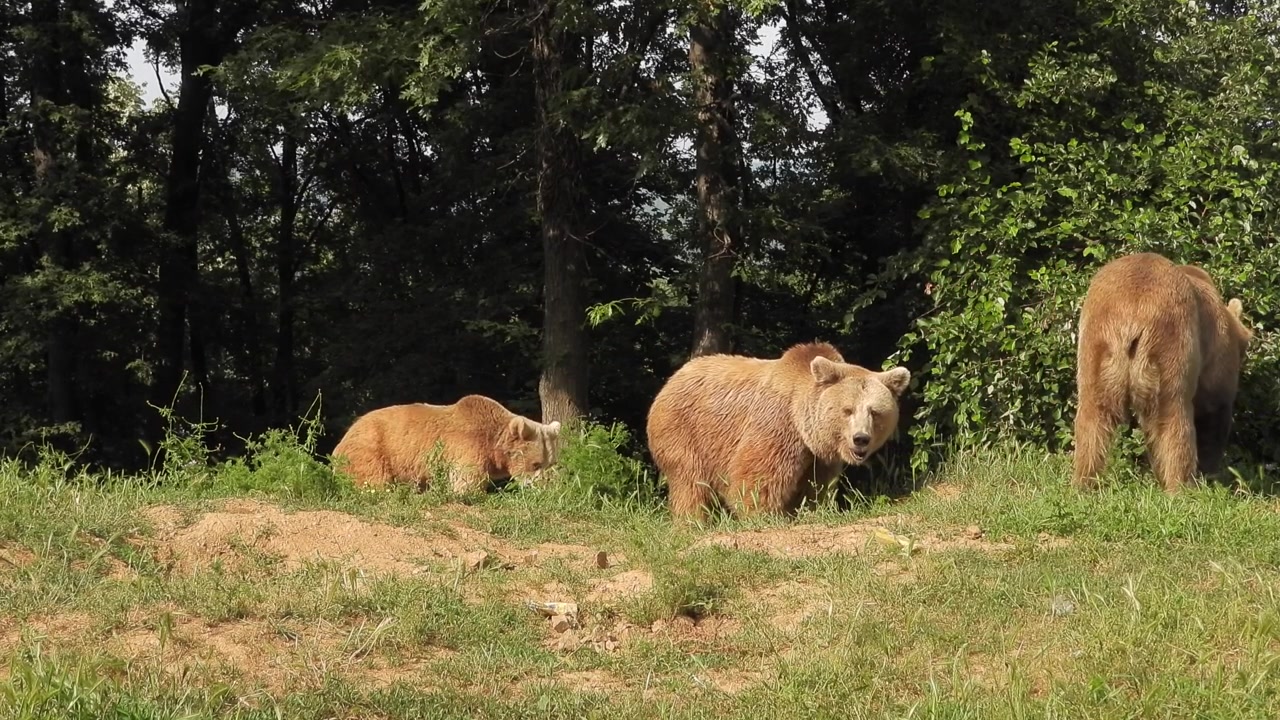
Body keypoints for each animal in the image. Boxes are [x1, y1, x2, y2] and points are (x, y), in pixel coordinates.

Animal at [331, 394, 563, 493]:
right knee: (373, 479)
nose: (545, 487)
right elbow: (466, 484)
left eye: (550, 463)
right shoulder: (465, 446)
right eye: (535, 463)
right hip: (371, 448)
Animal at [645, 342, 911, 522]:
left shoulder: (817, 458)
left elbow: (813, 487)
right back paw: (693, 522)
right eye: (847, 410)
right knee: (690, 484)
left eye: (875, 412)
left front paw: (808, 510)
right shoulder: (777, 426)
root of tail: (672, 379)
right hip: (683, 430)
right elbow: (755, 478)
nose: (860, 439)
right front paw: (764, 515)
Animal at [1071, 252, 1252, 492]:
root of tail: (1132, 310)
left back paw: (1083, 483)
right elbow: (1215, 410)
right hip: (1171, 341)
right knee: (1173, 416)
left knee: (1093, 414)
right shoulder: (1216, 357)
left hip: (1097, 344)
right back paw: (1181, 487)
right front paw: (1210, 472)